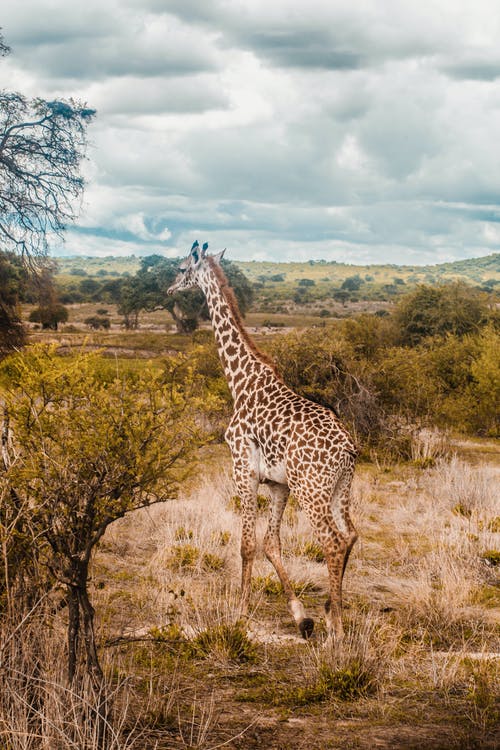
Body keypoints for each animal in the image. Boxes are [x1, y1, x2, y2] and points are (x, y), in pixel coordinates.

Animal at [169, 242, 360, 640]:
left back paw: (336, 628)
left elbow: (246, 545)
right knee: (350, 535)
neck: (240, 381)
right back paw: (331, 610)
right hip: (339, 488)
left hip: (311, 490)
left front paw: (239, 615)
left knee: (332, 541)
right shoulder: (277, 484)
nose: (168, 289)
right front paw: (301, 615)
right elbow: (271, 544)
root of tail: (348, 449)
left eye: (180, 268)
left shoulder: (243, 470)